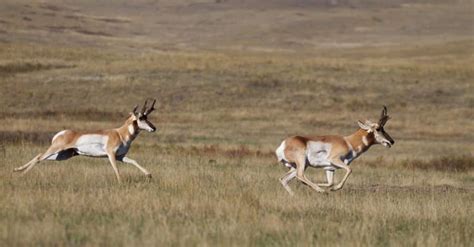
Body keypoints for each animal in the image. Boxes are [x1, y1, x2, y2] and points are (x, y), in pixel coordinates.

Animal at [13, 99, 158, 182]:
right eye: (141, 118)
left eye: (147, 117)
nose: (154, 128)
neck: (120, 133)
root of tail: (63, 133)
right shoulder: (111, 155)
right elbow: (116, 169)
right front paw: (120, 182)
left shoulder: (120, 157)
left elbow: (133, 161)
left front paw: (149, 174)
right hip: (56, 149)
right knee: (39, 157)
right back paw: (22, 174)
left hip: (63, 155)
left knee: (40, 156)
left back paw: (17, 170)